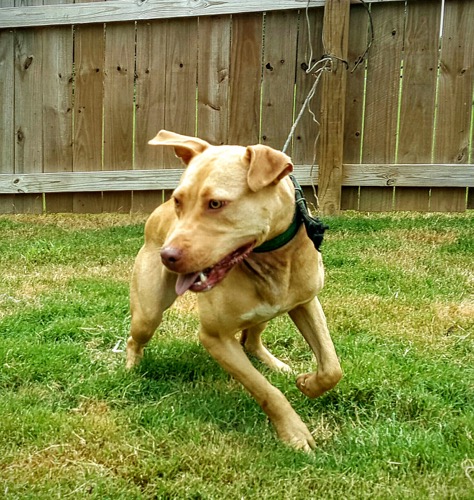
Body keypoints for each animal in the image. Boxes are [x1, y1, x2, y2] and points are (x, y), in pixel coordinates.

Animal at [126, 130, 342, 451]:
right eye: (179, 200)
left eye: (216, 204)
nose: (167, 255)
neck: (271, 256)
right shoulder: (215, 338)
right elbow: (266, 390)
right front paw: (294, 432)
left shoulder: (306, 302)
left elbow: (331, 367)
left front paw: (308, 383)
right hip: (148, 314)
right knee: (135, 337)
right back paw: (130, 369)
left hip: (267, 314)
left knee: (251, 341)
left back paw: (276, 364)